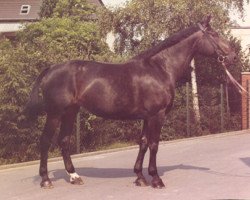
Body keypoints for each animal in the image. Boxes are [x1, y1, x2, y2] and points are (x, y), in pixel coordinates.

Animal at [25, 16, 238, 189]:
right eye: (214, 34)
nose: (233, 56)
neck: (160, 68)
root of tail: (51, 68)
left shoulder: (146, 116)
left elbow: (143, 142)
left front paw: (140, 177)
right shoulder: (157, 115)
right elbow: (154, 144)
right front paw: (156, 179)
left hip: (71, 112)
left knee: (64, 140)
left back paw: (74, 176)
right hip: (55, 113)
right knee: (45, 141)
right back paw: (46, 180)